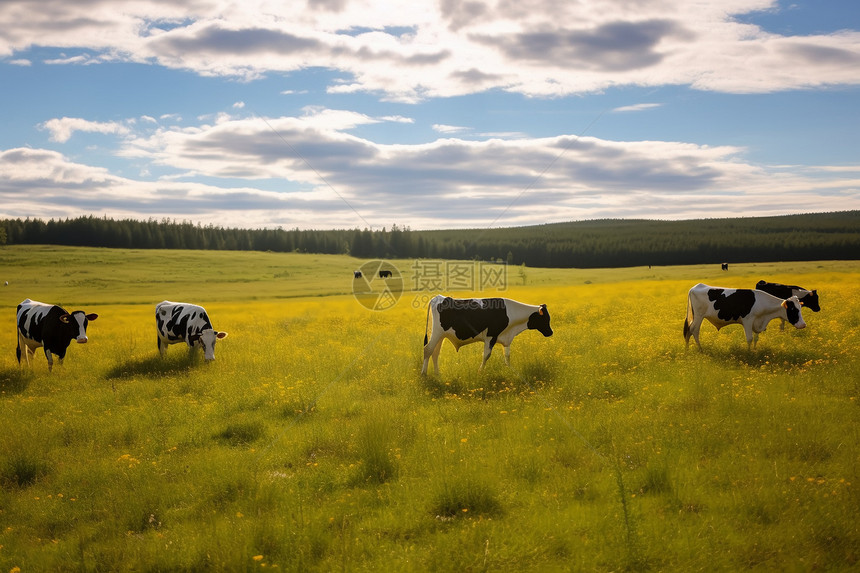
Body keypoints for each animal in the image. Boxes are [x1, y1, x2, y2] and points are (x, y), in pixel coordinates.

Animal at [422, 294, 556, 376]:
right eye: (546, 319)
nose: (551, 332)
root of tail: (439, 297)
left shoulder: (506, 338)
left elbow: (507, 356)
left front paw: (510, 370)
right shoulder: (490, 337)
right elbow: (486, 355)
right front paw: (480, 372)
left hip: (440, 336)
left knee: (435, 352)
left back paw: (437, 374)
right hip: (436, 332)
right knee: (428, 349)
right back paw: (424, 374)